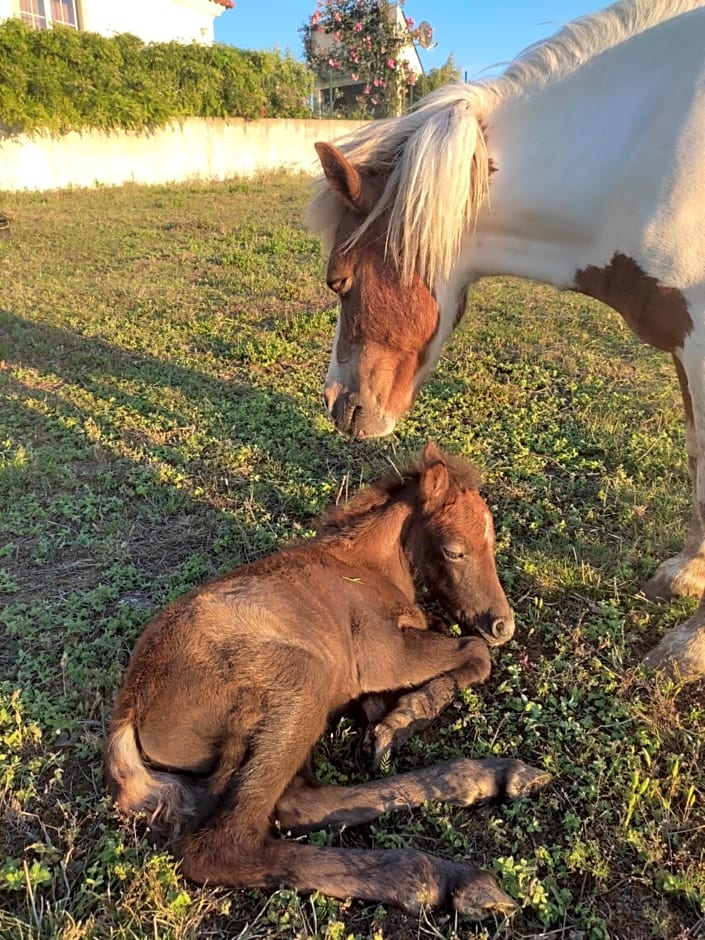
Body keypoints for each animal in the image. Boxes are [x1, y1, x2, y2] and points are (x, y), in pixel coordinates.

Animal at [306, 0, 704, 676]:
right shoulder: (686, 342)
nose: (338, 405)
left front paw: (688, 649)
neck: (652, 157)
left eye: (340, 281)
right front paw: (685, 576)